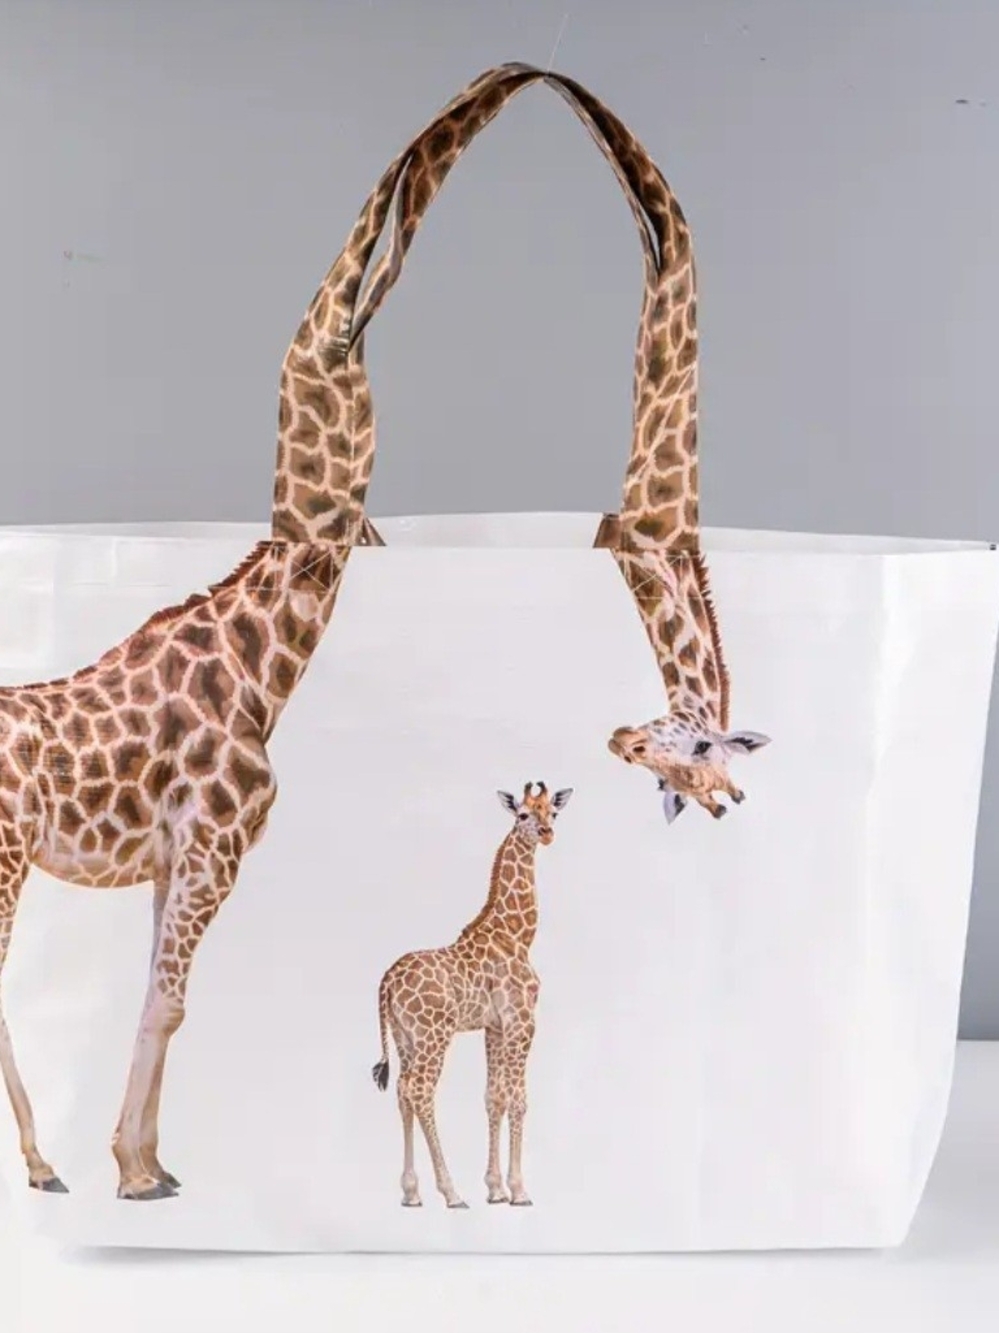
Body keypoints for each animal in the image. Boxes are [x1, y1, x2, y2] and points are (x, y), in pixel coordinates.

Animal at [371, 782, 573, 1210]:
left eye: (553, 812)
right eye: (523, 815)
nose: (547, 833)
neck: (518, 934)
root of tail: (387, 981)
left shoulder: (493, 1027)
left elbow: (493, 1097)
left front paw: (495, 1189)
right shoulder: (522, 1022)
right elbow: (518, 1097)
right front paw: (519, 1191)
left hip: (403, 1037)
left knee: (402, 1090)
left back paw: (411, 1193)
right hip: (434, 1035)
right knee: (420, 1090)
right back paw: (450, 1192)